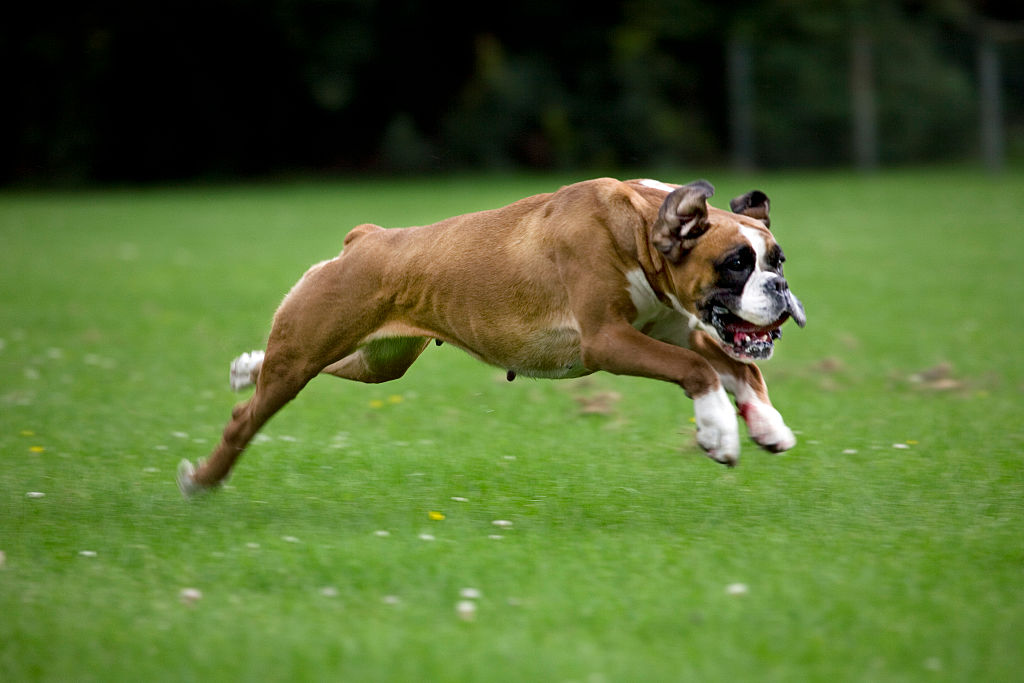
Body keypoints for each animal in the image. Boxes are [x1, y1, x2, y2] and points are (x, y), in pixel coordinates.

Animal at [176, 176, 802, 497]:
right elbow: (699, 373)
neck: (640, 228)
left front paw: (767, 423)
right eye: (736, 264)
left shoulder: (675, 331)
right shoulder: (609, 340)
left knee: (320, 368)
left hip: (378, 362)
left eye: (776, 259)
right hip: (305, 355)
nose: (779, 287)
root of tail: (368, 237)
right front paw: (718, 432)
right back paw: (201, 480)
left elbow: (740, 367)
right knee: (245, 420)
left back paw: (247, 366)